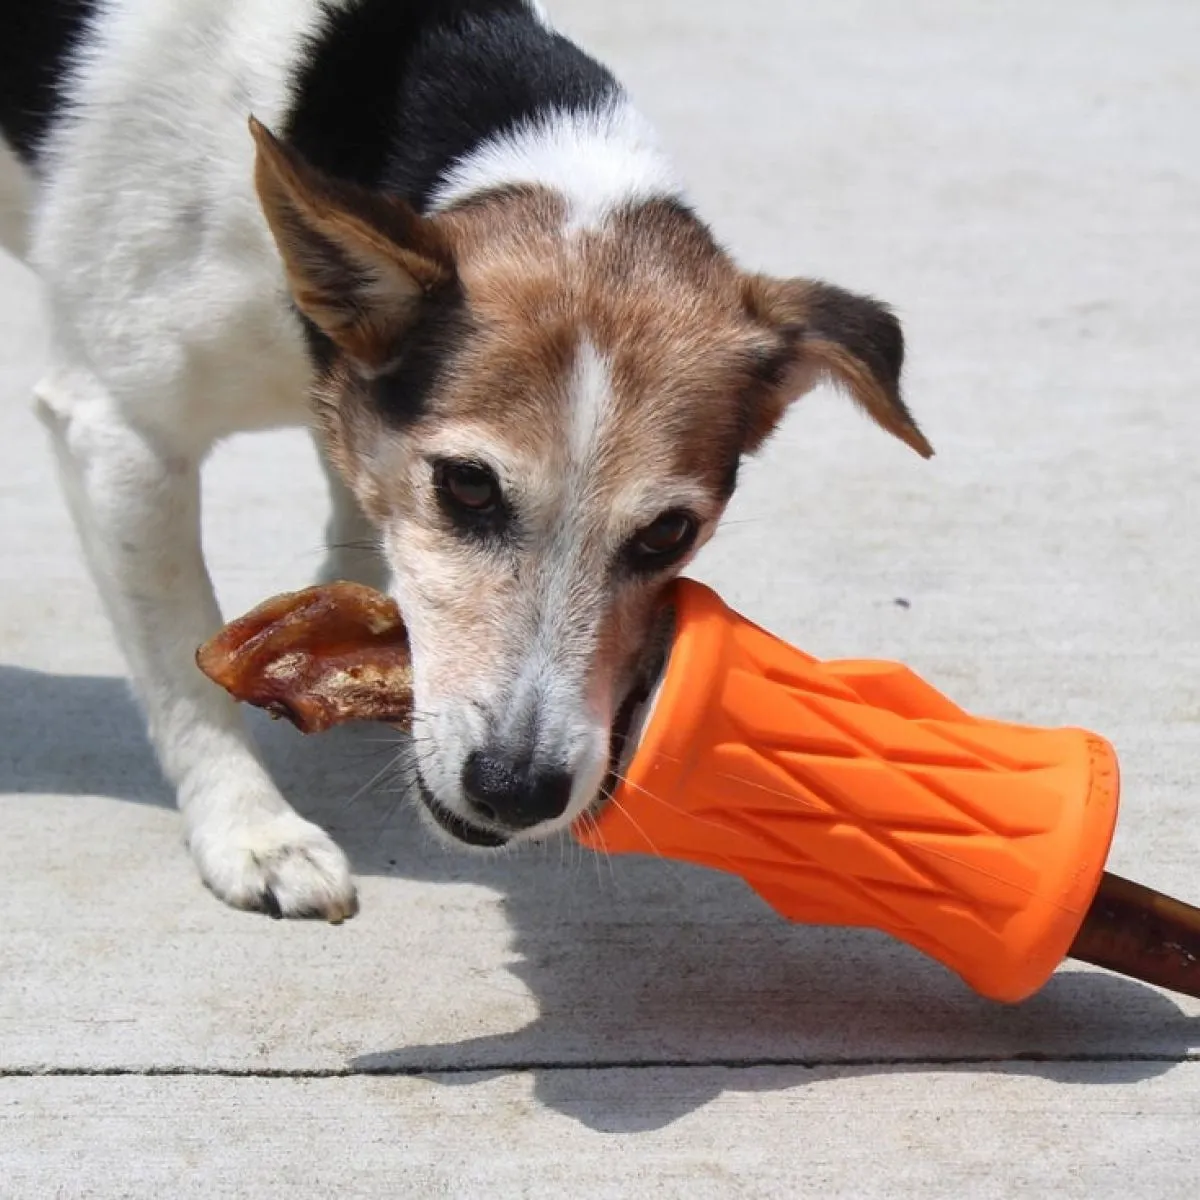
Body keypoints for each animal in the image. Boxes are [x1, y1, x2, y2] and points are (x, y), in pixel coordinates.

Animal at [0, 0, 926, 916]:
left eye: (668, 533)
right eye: (468, 486)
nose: (516, 791)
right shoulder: (119, 433)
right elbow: (182, 664)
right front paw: (251, 831)